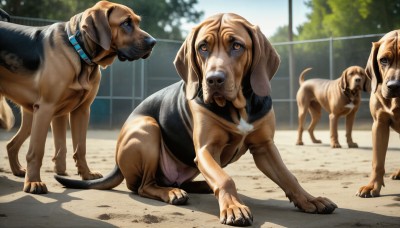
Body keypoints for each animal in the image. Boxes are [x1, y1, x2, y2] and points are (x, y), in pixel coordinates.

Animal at [0, 0, 156, 194]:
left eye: (137, 22)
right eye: (126, 23)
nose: (153, 42)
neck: (79, 52)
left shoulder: (80, 111)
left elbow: (79, 148)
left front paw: (86, 176)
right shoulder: (46, 109)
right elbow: (36, 151)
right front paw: (34, 182)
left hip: (30, 116)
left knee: (11, 145)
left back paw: (18, 171)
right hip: (36, 116)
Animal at [55, 13, 338, 226]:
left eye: (237, 45)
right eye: (203, 47)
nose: (214, 80)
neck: (237, 107)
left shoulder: (264, 147)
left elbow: (289, 178)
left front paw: (309, 200)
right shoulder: (205, 150)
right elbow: (225, 179)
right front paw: (233, 208)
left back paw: (198, 186)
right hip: (147, 128)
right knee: (144, 186)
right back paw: (171, 192)